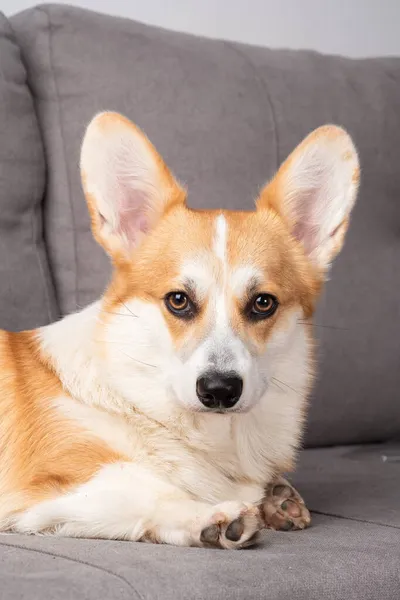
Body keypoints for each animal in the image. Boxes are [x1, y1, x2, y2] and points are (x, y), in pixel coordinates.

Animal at [0, 112, 358, 548]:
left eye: (263, 303)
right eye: (178, 300)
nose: (220, 390)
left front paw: (277, 499)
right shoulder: (53, 482)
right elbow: (150, 486)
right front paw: (213, 516)